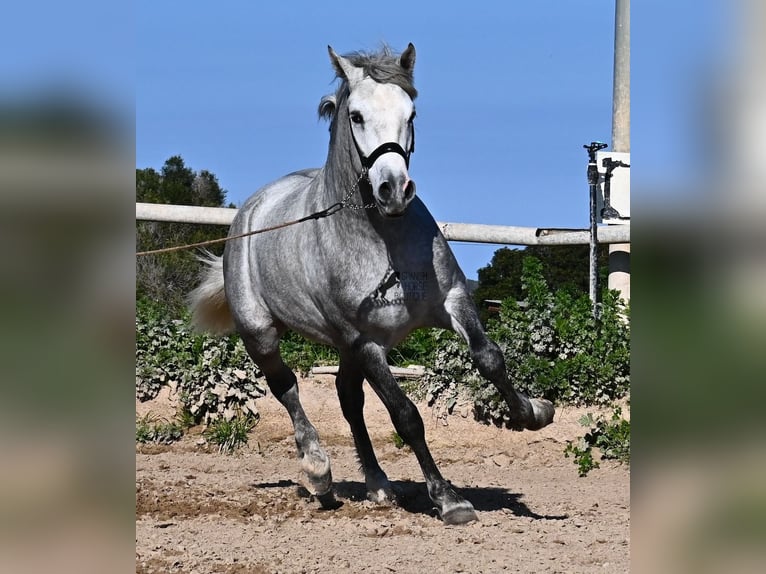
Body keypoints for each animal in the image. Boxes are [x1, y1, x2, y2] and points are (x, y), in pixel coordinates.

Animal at [189, 42, 556, 524]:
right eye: (357, 116)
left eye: (411, 113)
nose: (393, 190)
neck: (384, 242)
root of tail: (250, 211)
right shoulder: (367, 342)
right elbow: (406, 415)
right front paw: (449, 499)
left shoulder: (452, 301)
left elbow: (489, 358)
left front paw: (533, 412)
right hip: (262, 335)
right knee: (288, 388)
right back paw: (320, 475)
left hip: (344, 348)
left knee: (348, 399)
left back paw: (379, 485)